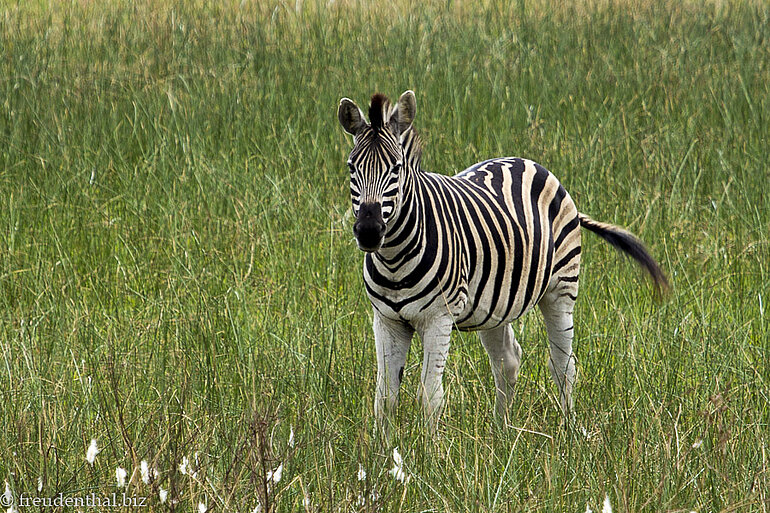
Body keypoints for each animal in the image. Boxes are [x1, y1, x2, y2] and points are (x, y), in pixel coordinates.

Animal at [337, 90, 668, 429]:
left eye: (397, 168)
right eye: (351, 167)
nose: (368, 231)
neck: (394, 260)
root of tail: (529, 162)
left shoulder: (438, 318)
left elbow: (430, 398)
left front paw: (428, 445)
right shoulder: (386, 320)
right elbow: (385, 400)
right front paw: (383, 444)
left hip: (561, 290)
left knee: (563, 365)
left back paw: (569, 431)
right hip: (495, 303)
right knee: (508, 360)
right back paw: (501, 431)